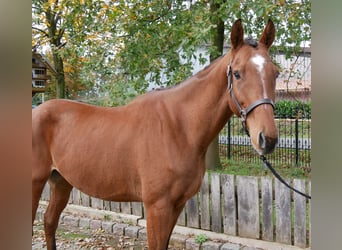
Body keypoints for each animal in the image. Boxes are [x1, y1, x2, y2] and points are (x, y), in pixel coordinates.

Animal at [31, 20, 278, 250]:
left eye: (275, 73)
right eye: (237, 73)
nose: (267, 139)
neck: (178, 127)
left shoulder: (176, 205)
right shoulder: (157, 207)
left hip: (61, 182)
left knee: (49, 222)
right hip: (36, 183)